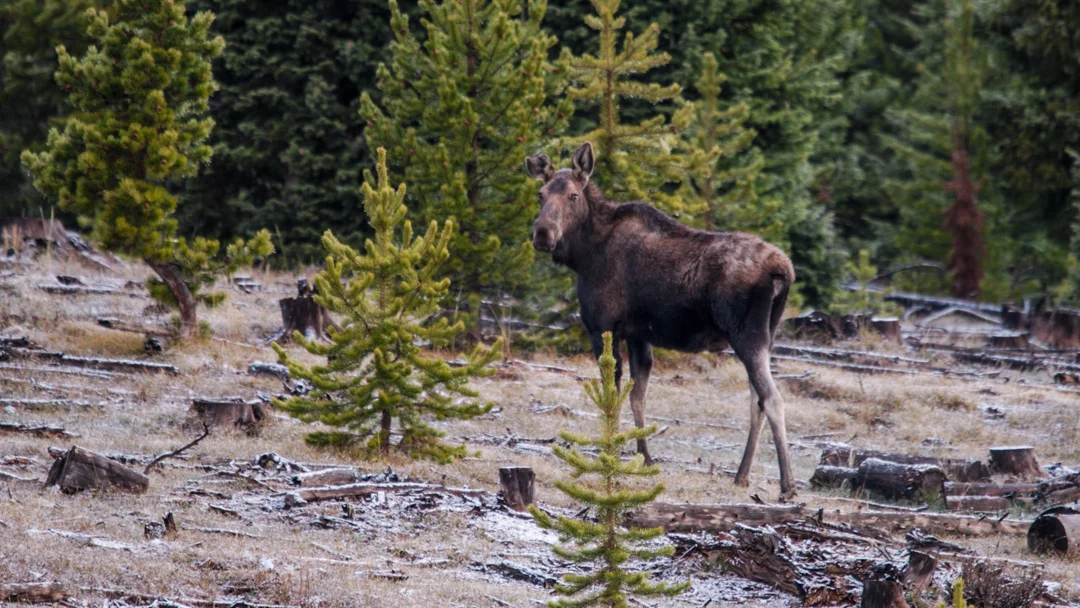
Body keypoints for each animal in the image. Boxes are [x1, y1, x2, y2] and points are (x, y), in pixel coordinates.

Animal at [525, 142, 798, 498]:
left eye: (573, 195)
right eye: (540, 194)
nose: (543, 235)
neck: (583, 254)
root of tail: (784, 270)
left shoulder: (602, 327)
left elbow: (612, 395)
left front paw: (611, 452)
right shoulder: (639, 334)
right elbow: (637, 396)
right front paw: (645, 457)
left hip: (745, 335)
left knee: (773, 399)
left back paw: (787, 484)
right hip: (768, 335)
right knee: (757, 402)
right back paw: (741, 475)